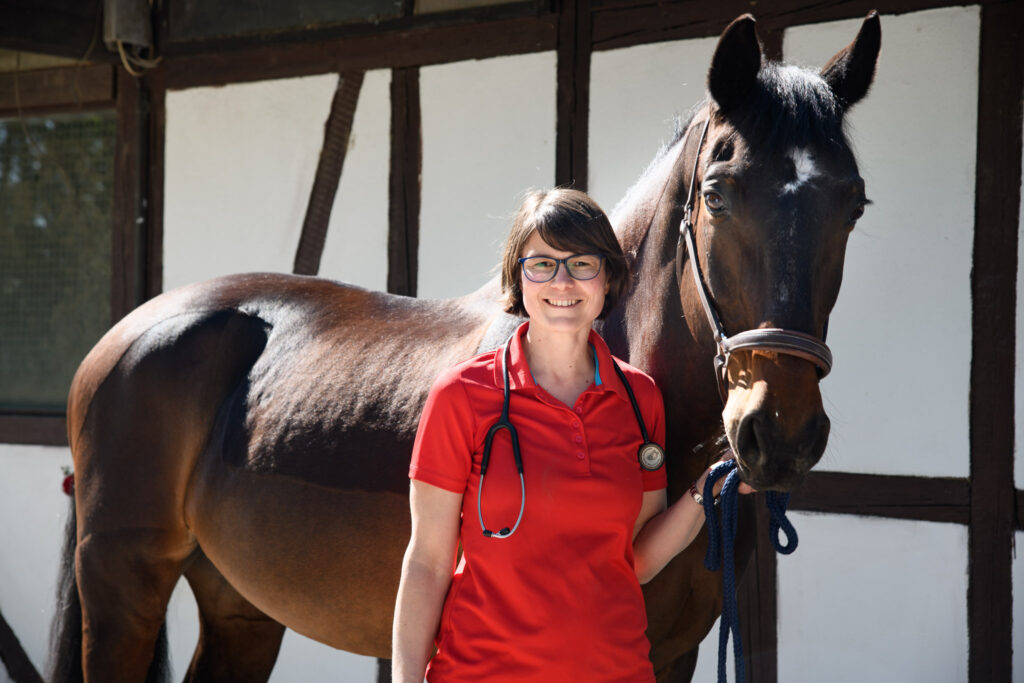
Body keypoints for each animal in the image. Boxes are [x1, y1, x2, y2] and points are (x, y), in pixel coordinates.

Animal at [51, 12, 880, 682]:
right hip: (123, 583)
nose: (780, 430)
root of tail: (126, 333)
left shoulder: (670, 652)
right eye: (716, 193)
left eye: (855, 203)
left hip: (241, 604)